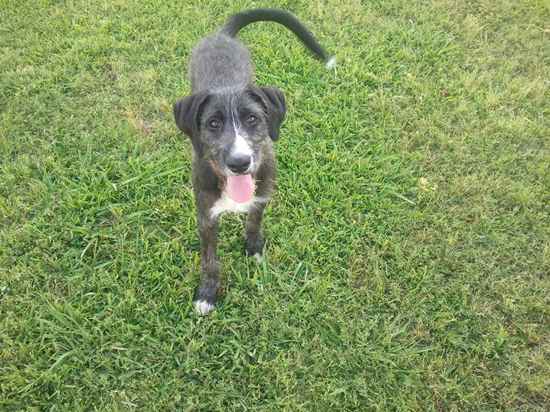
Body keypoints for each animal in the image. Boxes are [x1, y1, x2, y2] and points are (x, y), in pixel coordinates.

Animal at [175, 8, 334, 314]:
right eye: (213, 124)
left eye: (252, 119)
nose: (239, 163)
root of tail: (222, 35)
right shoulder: (206, 216)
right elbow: (209, 260)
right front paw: (207, 293)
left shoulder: (261, 197)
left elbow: (253, 224)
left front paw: (254, 250)